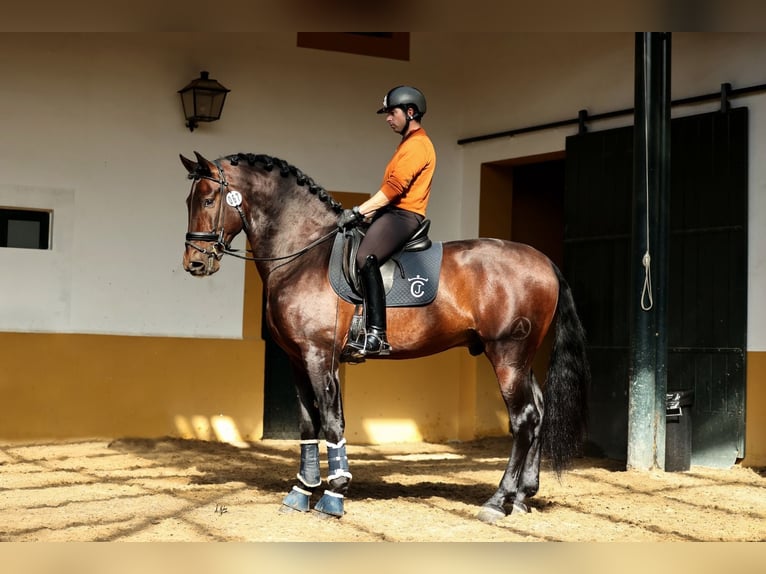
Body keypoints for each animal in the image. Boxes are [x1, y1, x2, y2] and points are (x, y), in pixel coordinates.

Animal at [183, 151, 592, 524]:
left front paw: (334, 495)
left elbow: (332, 422)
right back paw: (522, 497)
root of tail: (544, 261)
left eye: (208, 199)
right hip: (521, 359)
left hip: (507, 354)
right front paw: (301, 491)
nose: (195, 262)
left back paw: (497, 501)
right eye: (189, 201)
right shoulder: (297, 358)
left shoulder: (319, 356)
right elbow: (308, 423)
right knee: (538, 411)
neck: (304, 254)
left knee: (524, 418)